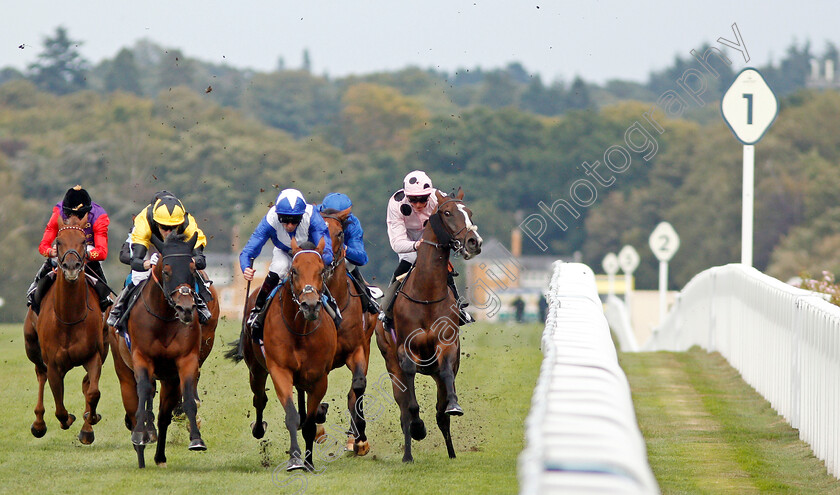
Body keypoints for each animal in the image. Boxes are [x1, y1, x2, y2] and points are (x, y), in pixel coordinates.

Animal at [23, 215, 110, 444]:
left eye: (83, 241)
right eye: (59, 241)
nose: (71, 266)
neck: (69, 318)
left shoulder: (94, 356)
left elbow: (93, 392)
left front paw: (88, 425)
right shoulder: (54, 364)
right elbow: (60, 408)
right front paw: (68, 419)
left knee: (87, 384)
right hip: (32, 347)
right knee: (40, 374)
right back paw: (38, 424)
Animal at [108, 233, 220, 468]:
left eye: (191, 269)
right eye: (166, 271)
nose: (186, 309)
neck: (164, 319)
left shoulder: (185, 361)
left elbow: (187, 398)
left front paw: (196, 438)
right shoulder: (142, 358)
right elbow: (143, 392)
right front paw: (140, 435)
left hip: (169, 379)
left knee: (163, 415)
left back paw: (159, 456)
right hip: (124, 372)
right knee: (135, 405)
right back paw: (141, 447)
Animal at [228, 238, 340, 470]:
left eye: (321, 271)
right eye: (294, 271)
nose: (310, 305)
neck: (300, 329)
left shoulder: (319, 378)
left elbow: (309, 423)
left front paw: (309, 462)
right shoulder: (280, 370)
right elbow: (291, 416)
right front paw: (295, 459)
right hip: (256, 369)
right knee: (259, 398)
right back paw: (258, 427)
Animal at [372, 188, 480, 464]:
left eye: (469, 212)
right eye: (447, 212)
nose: (474, 242)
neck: (427, 293)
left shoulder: (447, 344)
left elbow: (446, 382)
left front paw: (454, 406)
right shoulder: (405, 352)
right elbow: (410, 406)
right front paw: (418, 427)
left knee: (441, 412)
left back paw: (451, 453)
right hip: (391, 365)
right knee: (403, 410)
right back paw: (408, 453)